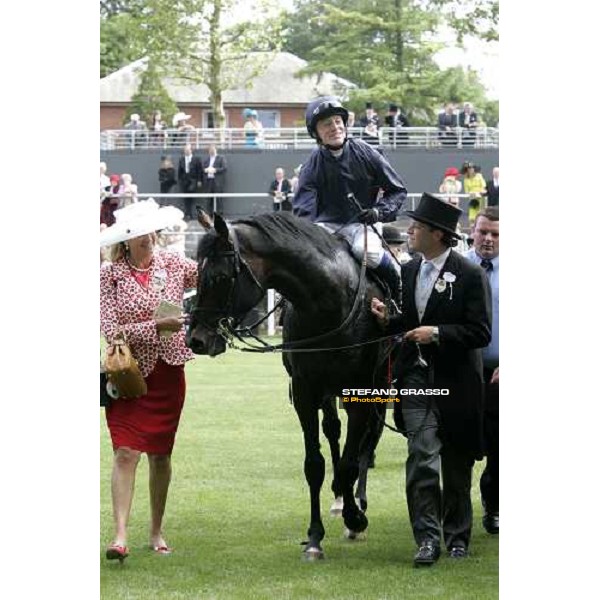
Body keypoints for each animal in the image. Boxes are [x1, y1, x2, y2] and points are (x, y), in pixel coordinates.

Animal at [188, 213, 394, 560]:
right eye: (197, 274)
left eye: (219, 277)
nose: (196, 340)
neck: (329, 303)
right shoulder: (305, 390)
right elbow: (315, 465)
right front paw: (314, 537)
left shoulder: (359, 391)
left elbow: (351, 461)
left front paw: (355, 517)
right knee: (334, 431)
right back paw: (339, 497)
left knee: (369, 440)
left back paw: (356, 501)